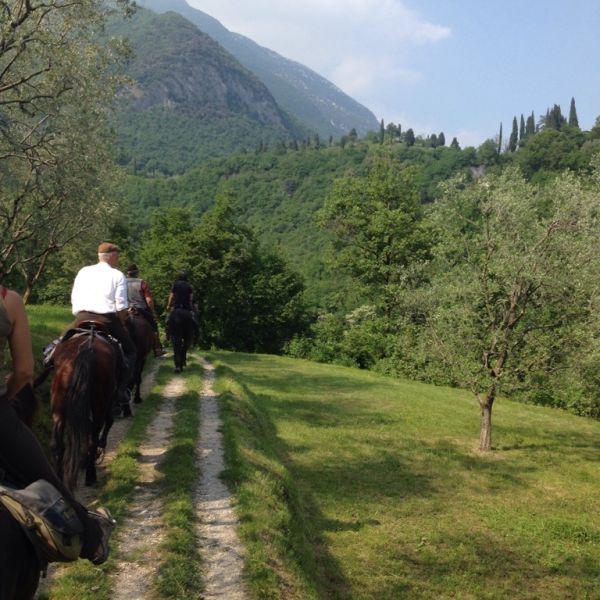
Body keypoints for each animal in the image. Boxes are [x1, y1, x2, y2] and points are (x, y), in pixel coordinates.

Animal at [51, 326, 118, 490]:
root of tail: (88, 348)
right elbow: (108, 421)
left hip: (58, 407)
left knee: (58, 445)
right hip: (99, 405)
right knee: (93, 438)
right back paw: (90, 475)